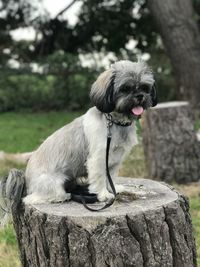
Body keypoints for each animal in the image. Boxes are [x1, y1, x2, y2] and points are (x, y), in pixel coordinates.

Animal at [0, 59, 156, 213]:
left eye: (145, 87)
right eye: (125, 88)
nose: (140, 96)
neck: (115, 122)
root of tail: (26, 180)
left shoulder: (115, 160)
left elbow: (111, 177)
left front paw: (114, 189)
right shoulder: (98, 159)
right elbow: (100, 178)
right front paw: (103, 194)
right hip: (53, 183)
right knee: (34, 198)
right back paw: (64, 196)